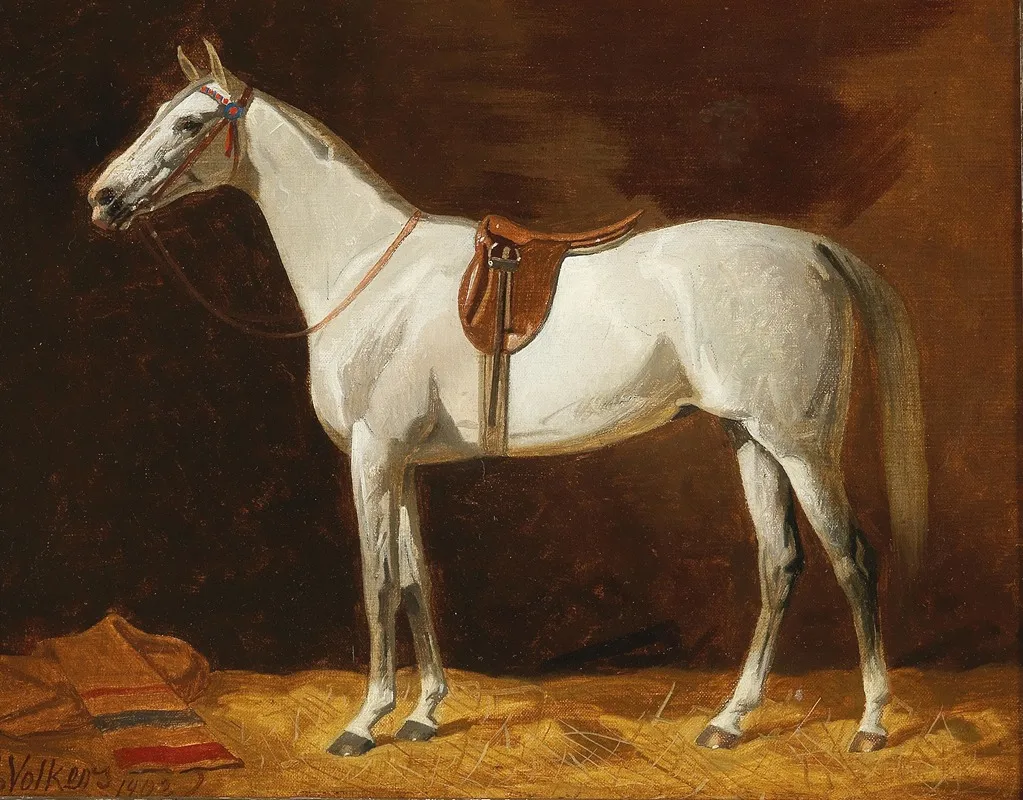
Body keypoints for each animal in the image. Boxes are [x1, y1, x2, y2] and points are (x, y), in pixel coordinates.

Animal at [87, 41, 927, 756]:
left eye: (188, 122)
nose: (104, 198)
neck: (368, 270)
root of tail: (812, 249)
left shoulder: (373, 457)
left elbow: (375, 581)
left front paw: (364, 722)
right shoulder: (403, 464)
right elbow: (414, 580)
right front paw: (424, 712)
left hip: (800, 444)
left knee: (852, 560)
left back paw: (871, 725)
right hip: (748, 438)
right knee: (778, 564)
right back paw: (728, 720)